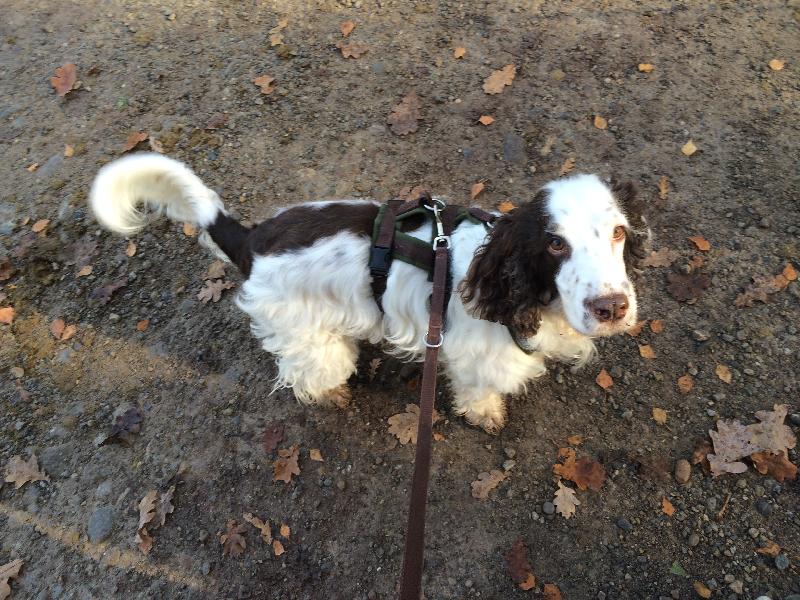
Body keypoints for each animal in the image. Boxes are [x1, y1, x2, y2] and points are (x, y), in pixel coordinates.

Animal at [89, 153, 648, 433]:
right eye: (555, 243)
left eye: (619, 232)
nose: (611, 308)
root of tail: (250, 240)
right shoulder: (475, 358)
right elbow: (478, 393)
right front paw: (486, 415)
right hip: (313, 342)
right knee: (305, 376)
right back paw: (330, 394)